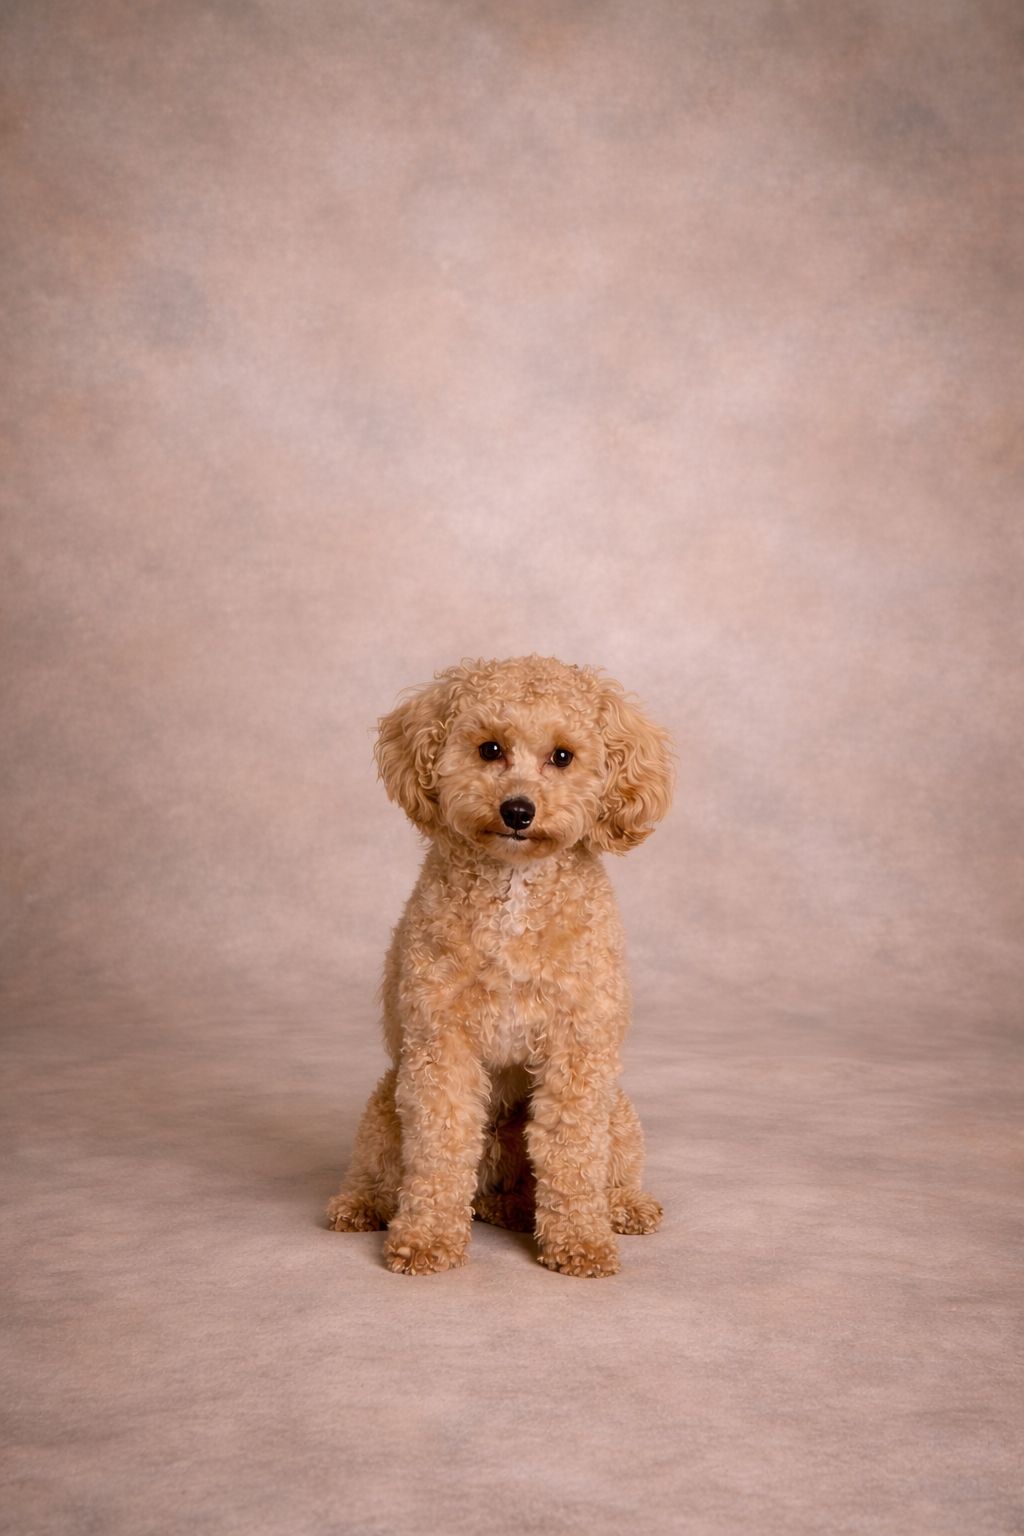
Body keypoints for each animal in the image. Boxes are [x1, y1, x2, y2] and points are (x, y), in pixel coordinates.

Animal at [326, 655, 673, 1276]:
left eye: (563, 756)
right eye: (490, 749)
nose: (517, 810)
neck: (513, 888)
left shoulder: (578, 1051)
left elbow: (573, 1152)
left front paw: (580, 1241)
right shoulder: (441, 1047)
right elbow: (439, 1149)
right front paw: (426, 1239)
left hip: (618, 1110)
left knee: (604, 1165)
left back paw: (619, 1206)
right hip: (387, 1105)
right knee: (383, 1168)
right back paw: (365, 1204)